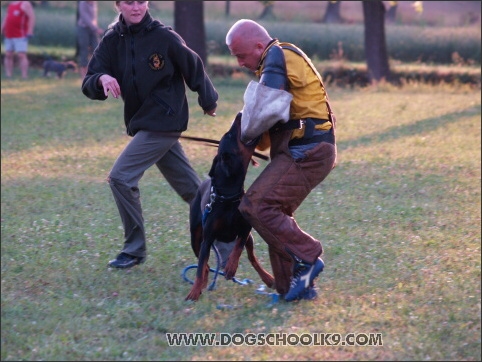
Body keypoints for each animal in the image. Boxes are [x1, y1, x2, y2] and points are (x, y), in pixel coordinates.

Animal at [185, 111, 274, 302]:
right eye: (230, 135)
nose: (240, 114)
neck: (228, 198)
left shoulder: (246, 228)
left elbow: (238, 247)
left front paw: (231, 267)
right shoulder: (207, 238)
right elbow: (200, 268)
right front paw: (194, 292)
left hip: (250, 239)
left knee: (252, 257)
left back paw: (268, 278)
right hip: (196, 237)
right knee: (203, 264)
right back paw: (203, 284)